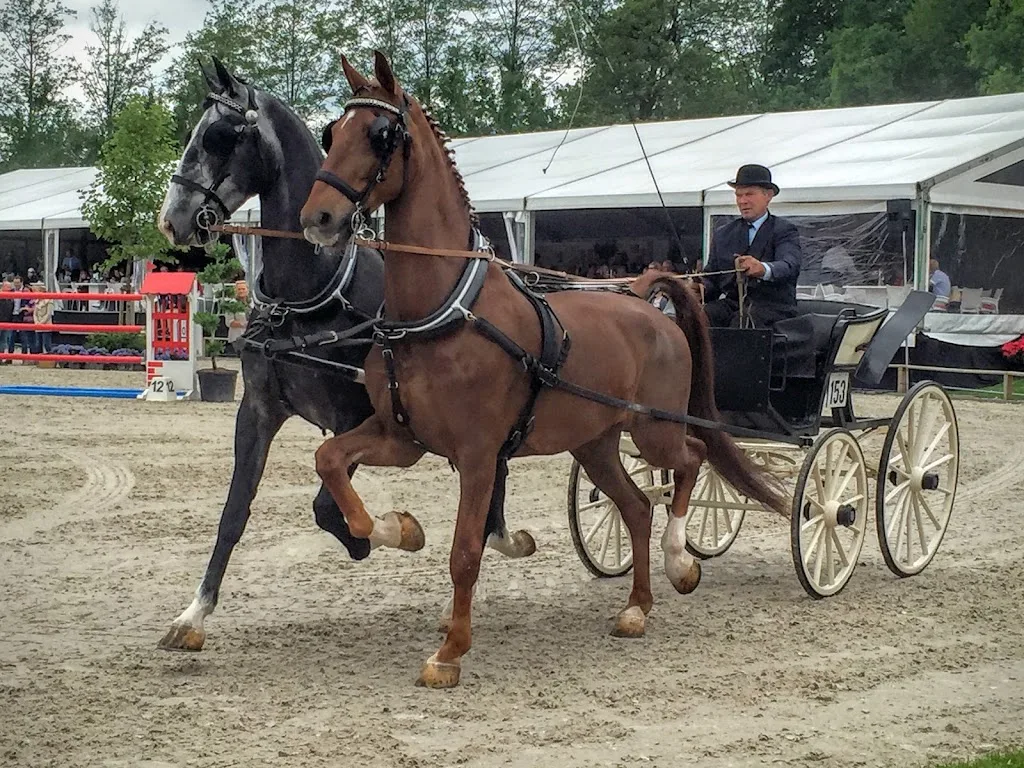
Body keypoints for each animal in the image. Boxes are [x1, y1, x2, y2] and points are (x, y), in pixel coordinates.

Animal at [155, 58, 537, 653]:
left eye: (220, 137)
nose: (172, 218)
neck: (312, 295)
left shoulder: (355, 416)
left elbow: (325, 507)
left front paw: (394, 532)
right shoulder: (258, 411)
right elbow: (235, 512)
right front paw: (194, 613)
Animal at [298, 51, 788, 688]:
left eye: (381, 135)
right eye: (333, 132)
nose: (318, 217)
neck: (444, 312)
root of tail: (641, 299)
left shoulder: (479, 455)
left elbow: (465, 551)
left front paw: (450, 651)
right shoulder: (401, 437)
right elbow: (330, 461)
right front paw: (398, 529)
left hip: (653, 429)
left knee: (692, 460)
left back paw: (681, 561)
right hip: (595, 442)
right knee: (636, 507)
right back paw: (636, 608)